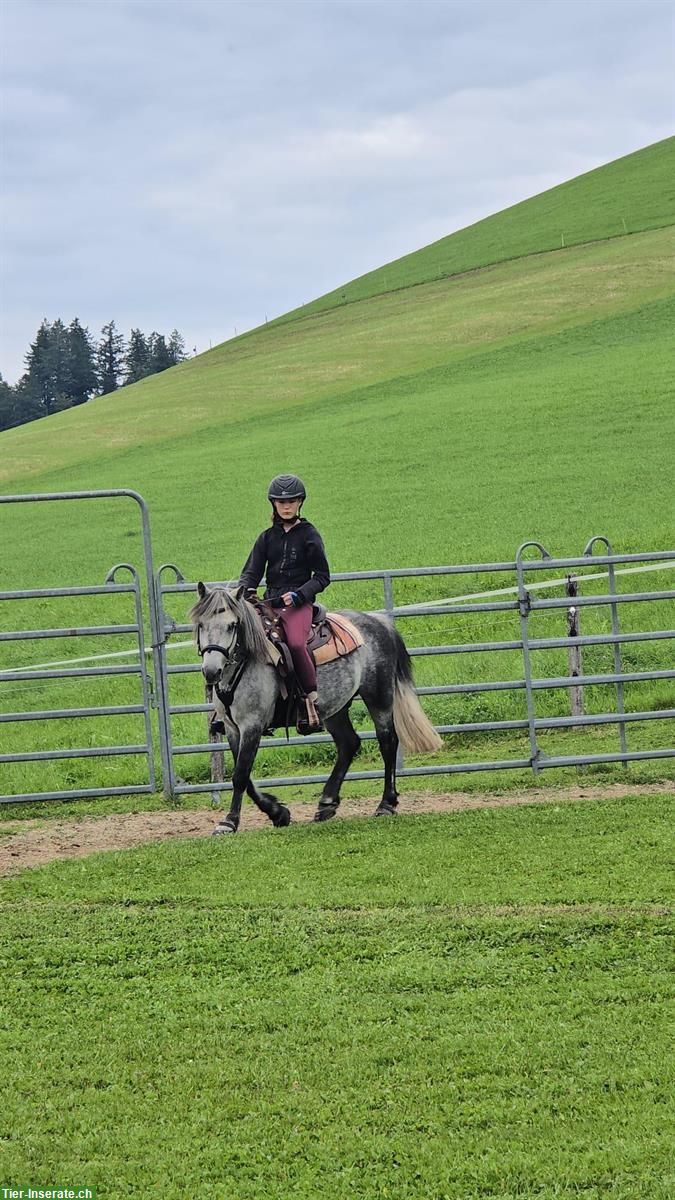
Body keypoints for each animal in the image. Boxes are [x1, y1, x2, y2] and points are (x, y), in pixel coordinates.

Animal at [188, 583, 442, 835]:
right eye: (201, 625)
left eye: (232, 625)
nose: (211, 671)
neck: (249, 660)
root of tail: (378, 620)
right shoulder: (233, 728)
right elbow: (246, 775)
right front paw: (278, 813)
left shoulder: (252, 724)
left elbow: (241, 775)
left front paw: (230, 821)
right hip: (335, 709)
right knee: (349, 744)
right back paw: (327, 803)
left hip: (378, 697)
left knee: (387, 741)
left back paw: (385, 804)